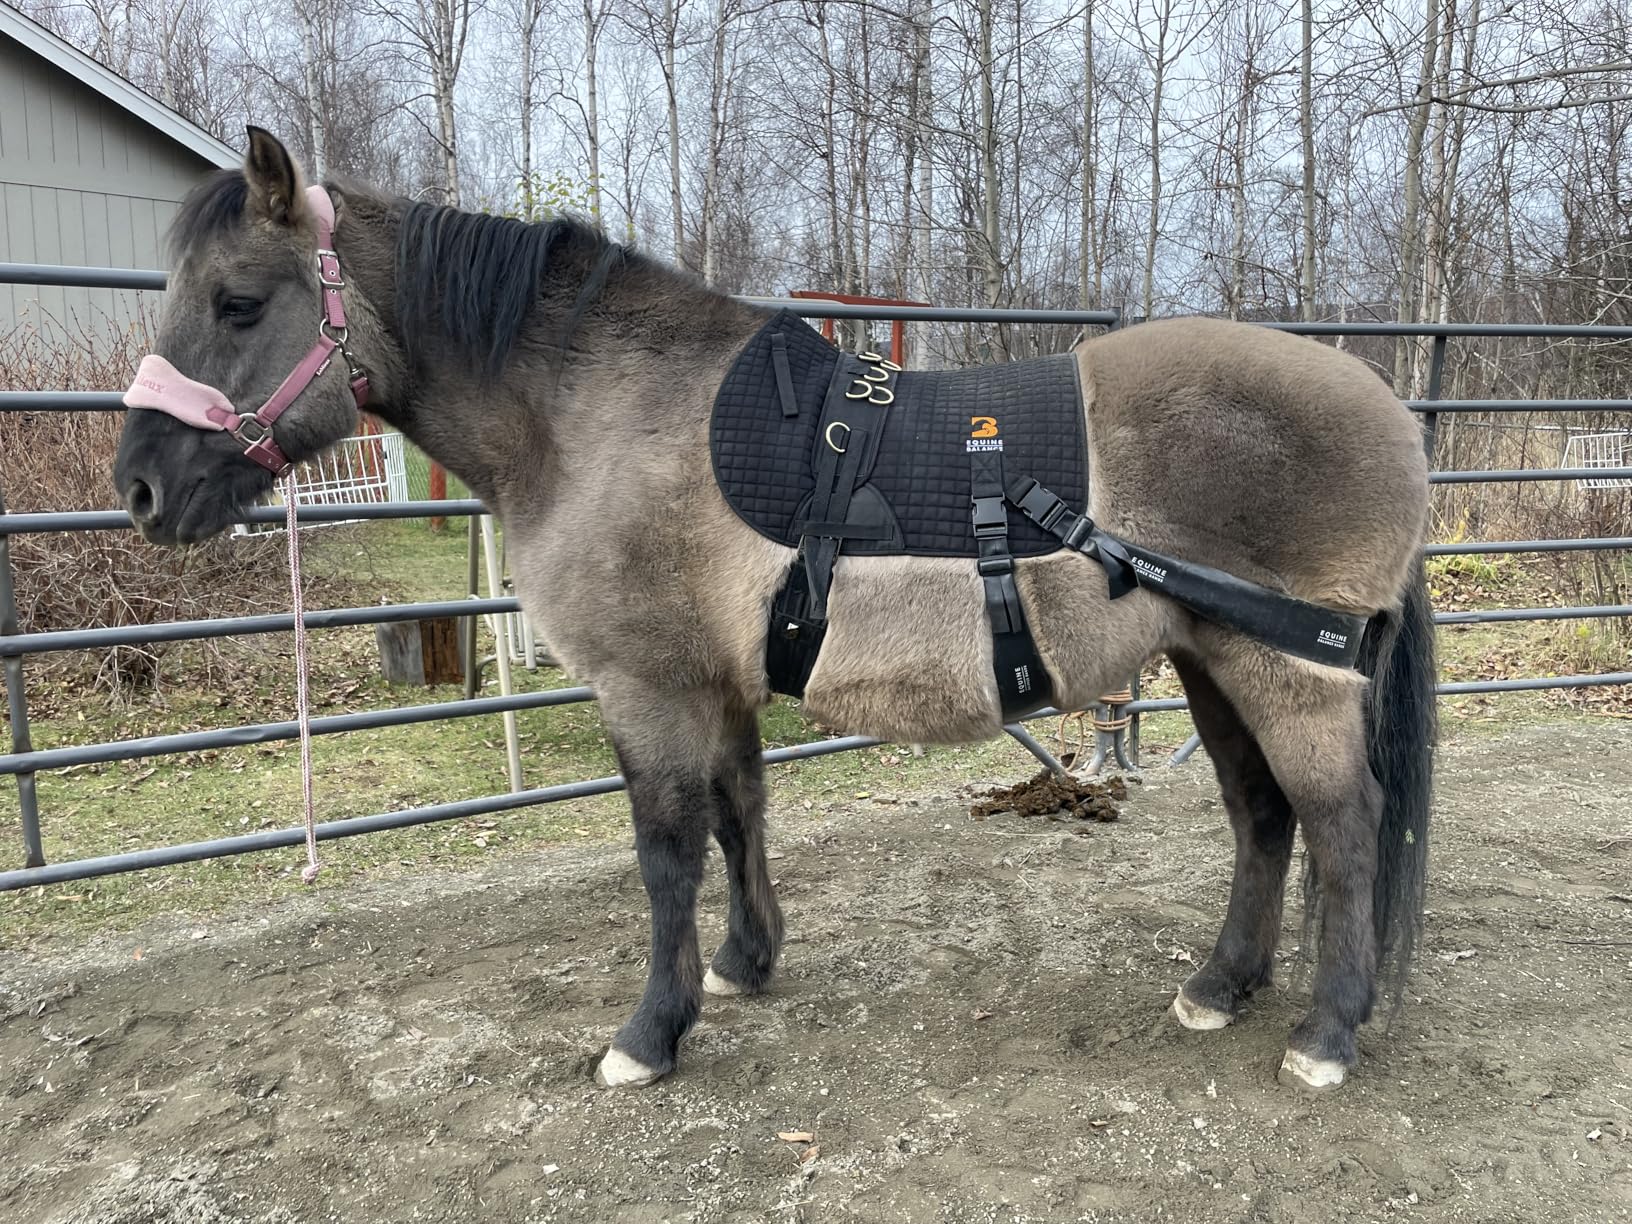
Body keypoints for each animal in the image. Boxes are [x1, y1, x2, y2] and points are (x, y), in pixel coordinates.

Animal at [113, 128, 1435, 1093]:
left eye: (238, 303)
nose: (138, 488)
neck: (602, 412)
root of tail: (1386, 407)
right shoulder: (718, 682)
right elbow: (739, 816)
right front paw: (746, 964)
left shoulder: (646, 687)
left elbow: (665, 856)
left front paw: (652, 1031)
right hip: (1215, 664)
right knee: (1263, 821)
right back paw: (1220, 987)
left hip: (1287, 675)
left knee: (1343, 826)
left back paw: (1327, 1033)